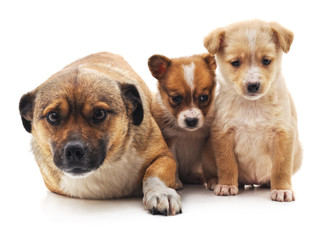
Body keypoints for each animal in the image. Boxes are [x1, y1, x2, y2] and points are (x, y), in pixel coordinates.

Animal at [19, 51, 183, 215]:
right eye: (53, 116)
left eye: (99, 114)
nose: (73, 150)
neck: (107, 163)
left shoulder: (165, 157)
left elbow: (153, 172)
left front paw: (160, 192)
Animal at [149, 53, 218, 187]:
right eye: (176, 98)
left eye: (204, 97)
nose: (192, 120)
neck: (188, 133)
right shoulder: (169, 140)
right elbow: (173, 163)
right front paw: (175, 182)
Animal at [204, 19, 304, 202]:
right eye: (235, 62)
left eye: (266, 61)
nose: (253, 85)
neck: (252, 106)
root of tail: (253, 181)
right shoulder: (223, 133)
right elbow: (227, 164)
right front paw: (227, 185)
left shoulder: (283, 133)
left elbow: (281, 167)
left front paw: (282, 189)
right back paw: (215, 181)